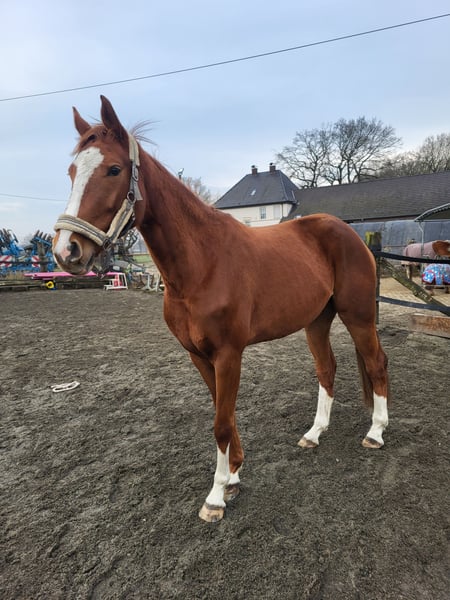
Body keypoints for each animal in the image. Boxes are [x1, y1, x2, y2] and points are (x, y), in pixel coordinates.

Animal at [53, 96, 389, 523]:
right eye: (71, 171)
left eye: (113, 169)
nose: (66, 249)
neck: (202, 263)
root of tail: (349, 233)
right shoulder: (199, 356)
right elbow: (222, 413)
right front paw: (233, 476)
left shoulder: (229, 355)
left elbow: (221, 424)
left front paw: (215, 496)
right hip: (317, 320)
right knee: (326, 368)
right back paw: (314, 434)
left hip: (357, 315)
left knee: (376, 363)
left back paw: (376, 433)